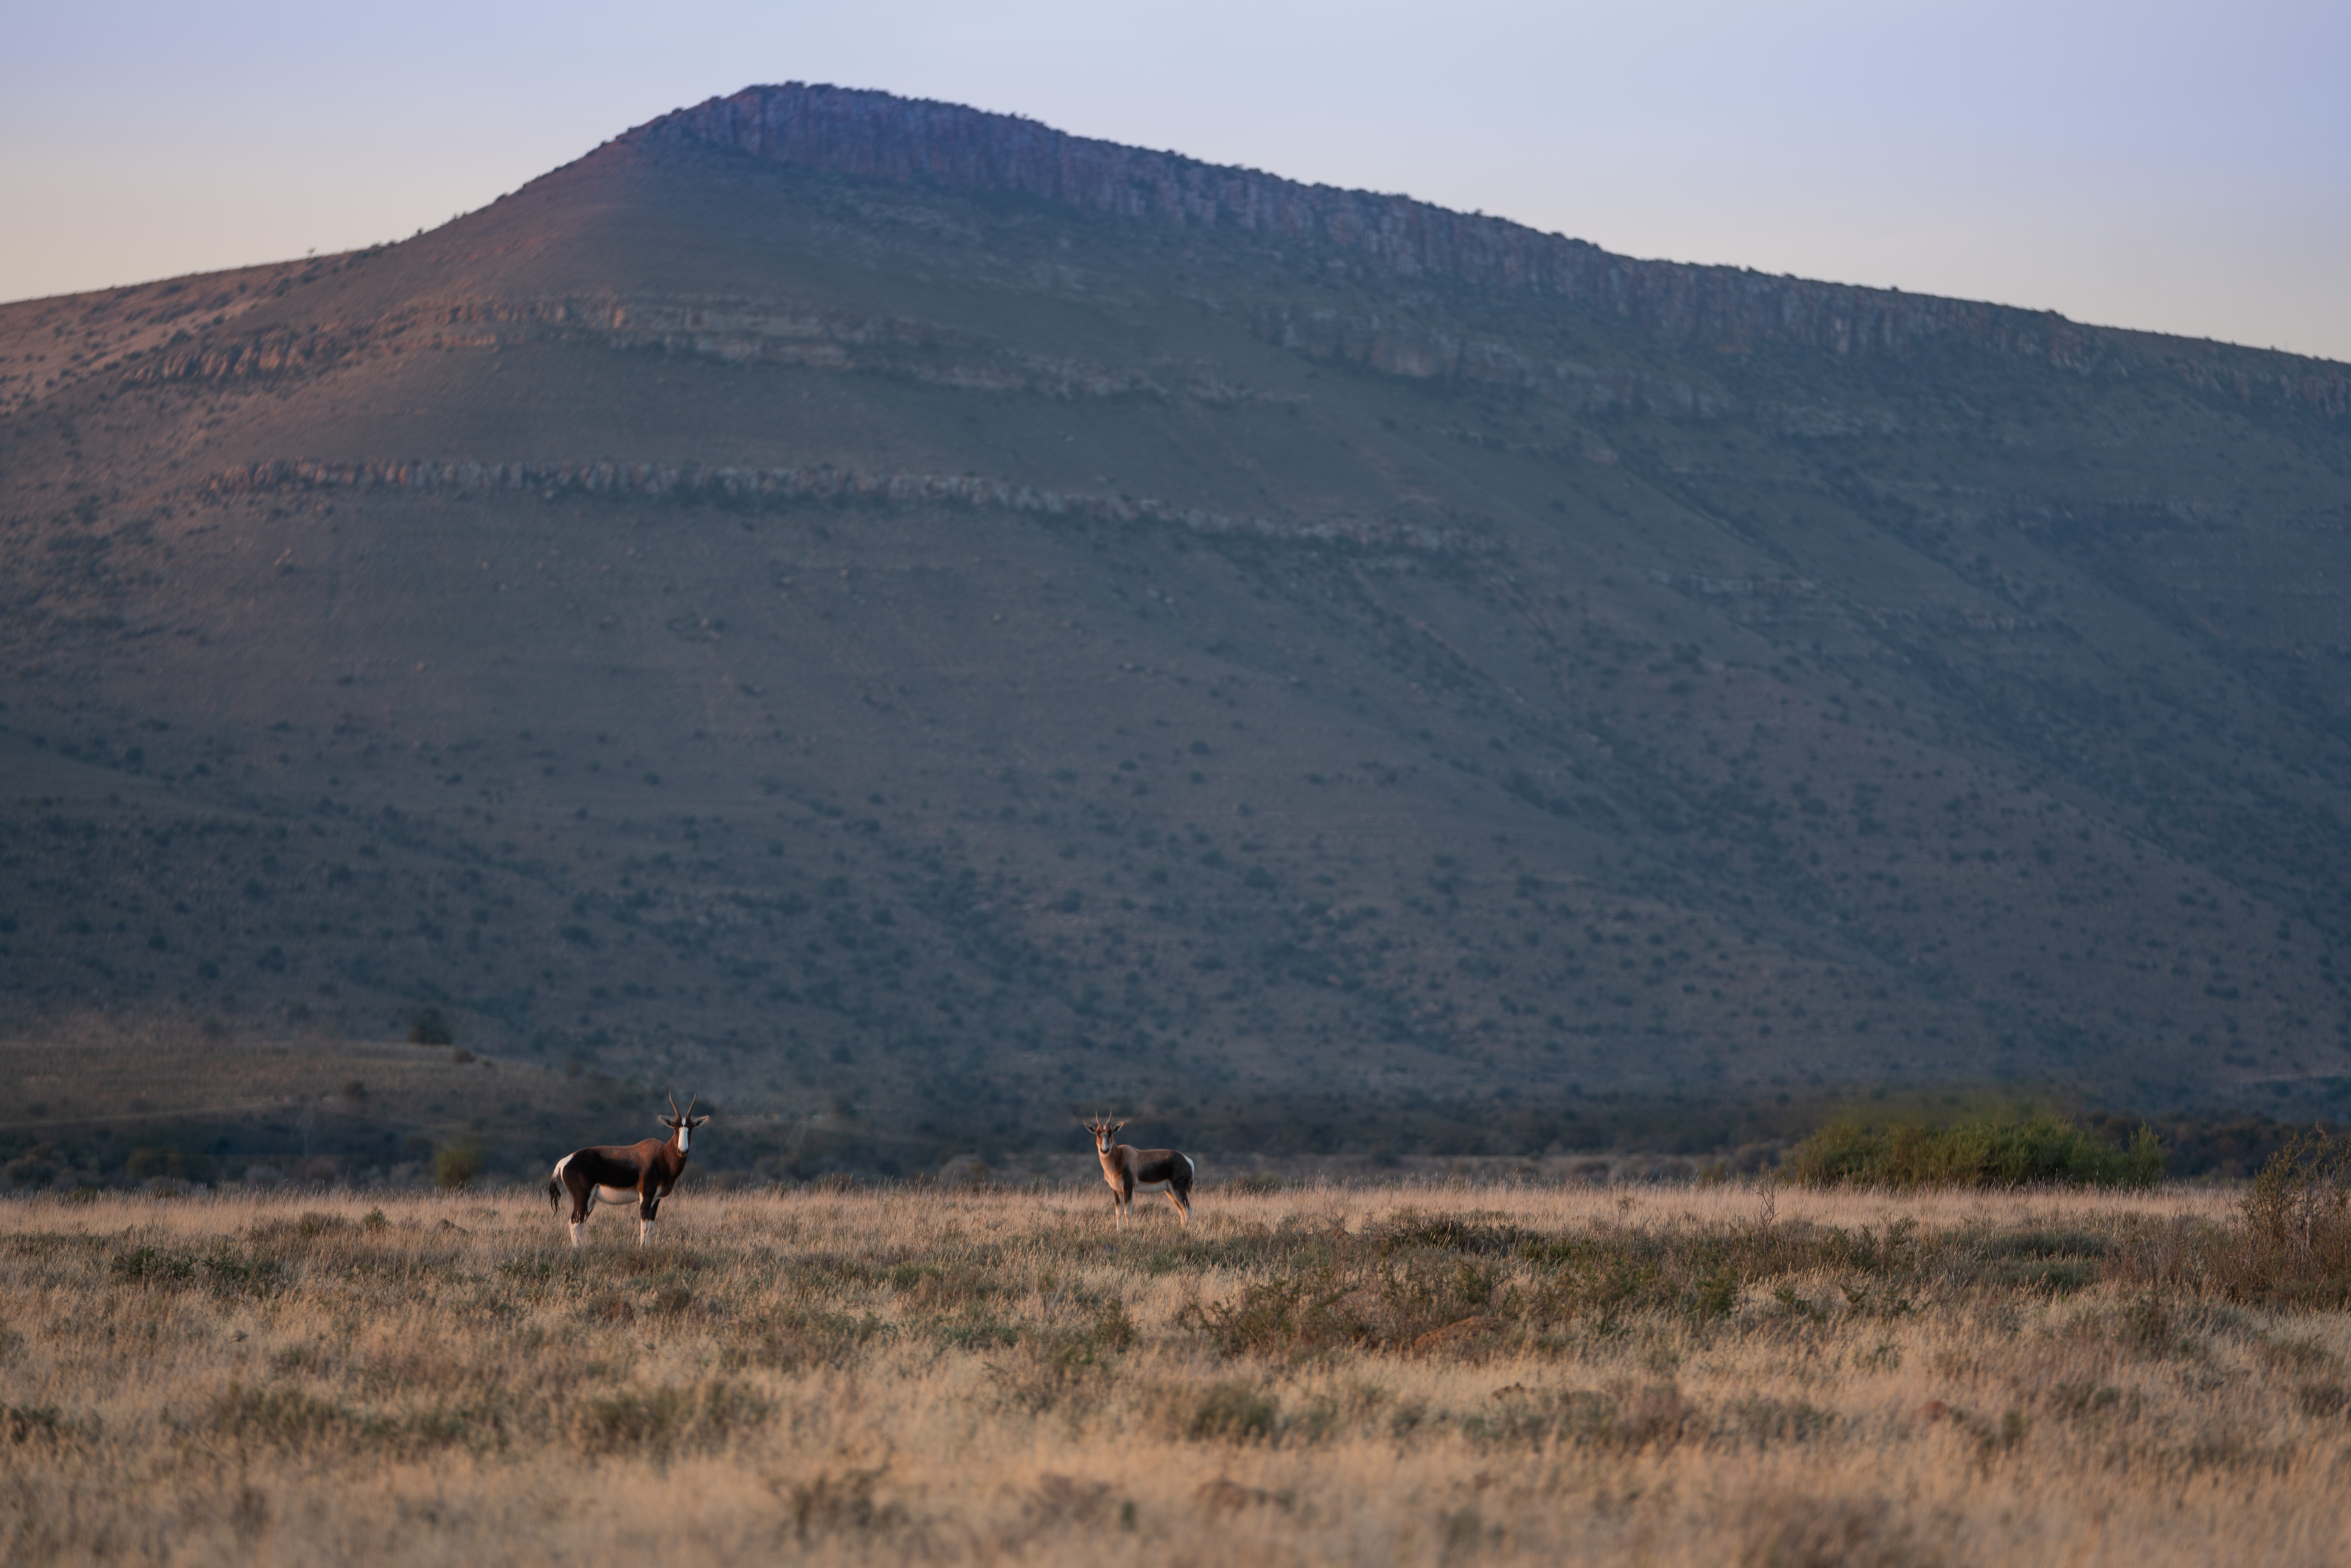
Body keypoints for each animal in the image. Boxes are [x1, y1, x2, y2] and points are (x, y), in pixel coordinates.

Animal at [550, 1091, 705, 1250]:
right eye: (675, 1128)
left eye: (691, 1128)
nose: (683, 1151)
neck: (661, 1156)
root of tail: (565, 1162)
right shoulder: (646, 1196)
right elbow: (644, 1225)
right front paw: (642, 1248)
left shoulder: (656, 1199)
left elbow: (651, 1225)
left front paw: (647, 1247)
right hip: (583, 1198)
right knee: (574, 1223)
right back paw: (577, 1249)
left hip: (592, 1200)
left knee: (581, 1223)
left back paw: (588, 1247)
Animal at [1081, 1114, 1194, 1222]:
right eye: (1098, 1133)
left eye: (1111, 1133)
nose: (1105, 1150)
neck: (1120, 1157)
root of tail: (1188, 1161)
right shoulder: (1117, 1190)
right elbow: (1119, 1214)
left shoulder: (1129, 1188)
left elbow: (1128, 1213)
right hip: (1170, 1192)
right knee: (1182, 1212)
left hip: (1178, 1190)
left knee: (1188, 1210)